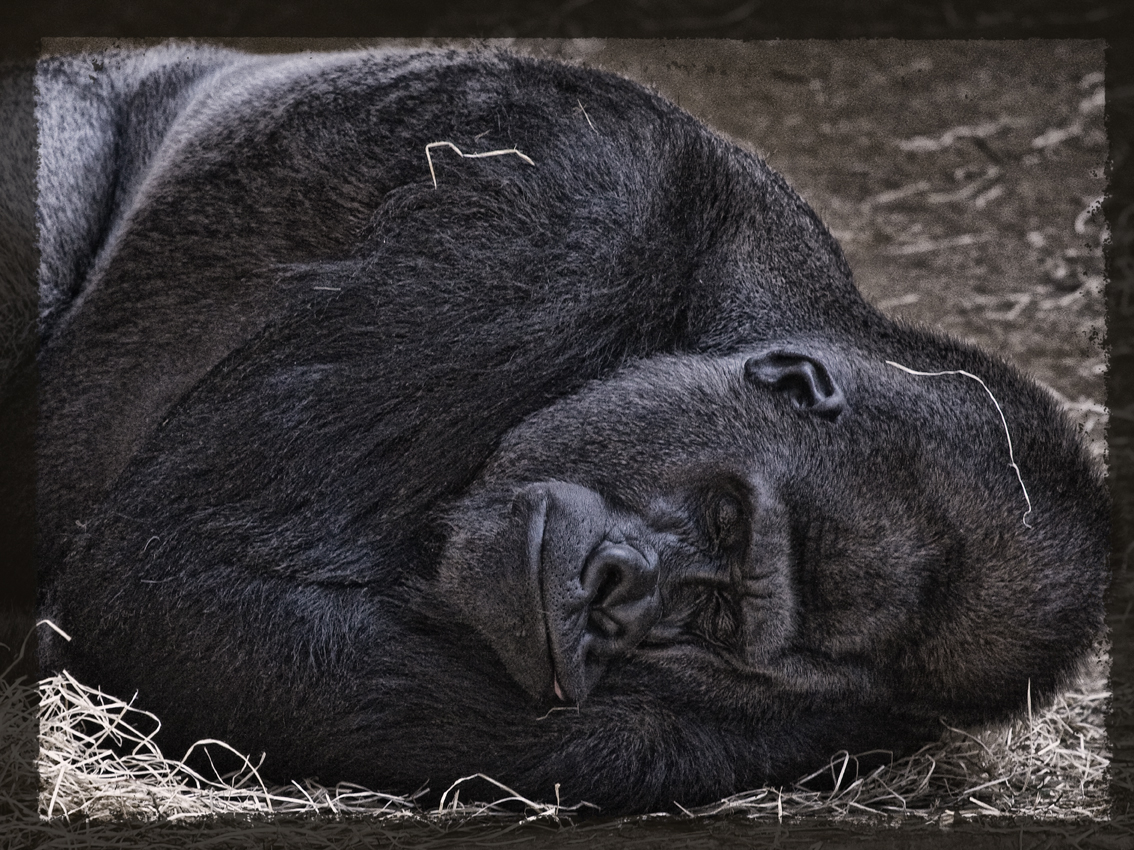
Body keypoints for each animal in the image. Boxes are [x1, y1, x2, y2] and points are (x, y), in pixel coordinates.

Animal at [28, 45, 1106, 811]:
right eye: (725, 517)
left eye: (719, 621)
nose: (616, 592)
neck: (722, 279)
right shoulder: (577, 222)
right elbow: (173, 577)